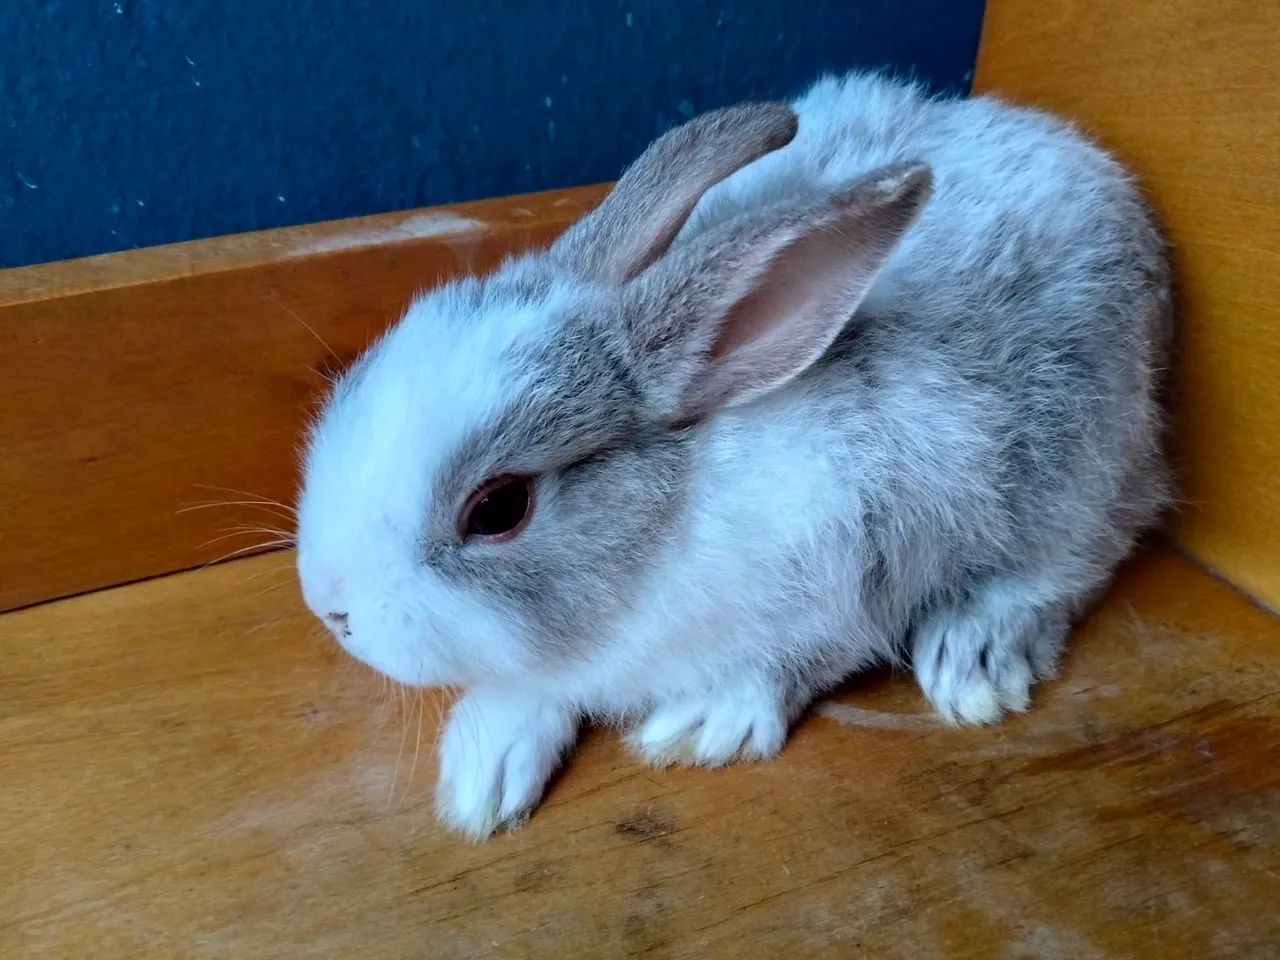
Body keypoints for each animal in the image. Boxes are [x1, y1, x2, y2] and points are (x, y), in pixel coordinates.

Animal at [295, 72, 1171, 839]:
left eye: (499, 508)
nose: (331, 610)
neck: (663, 539)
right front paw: (481, 775)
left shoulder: (851, 572)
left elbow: (790, 664)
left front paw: (703, 722)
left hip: (1080, 462)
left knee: (1079, 559)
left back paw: (974, 656)